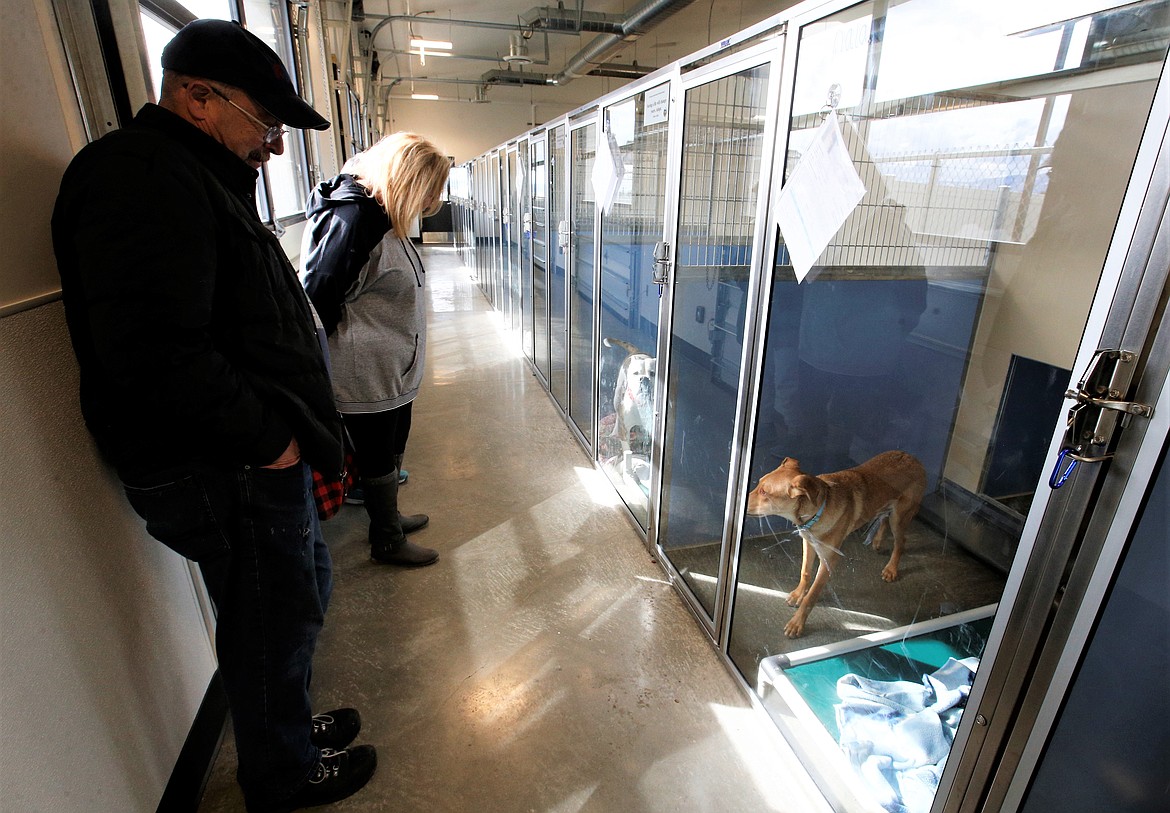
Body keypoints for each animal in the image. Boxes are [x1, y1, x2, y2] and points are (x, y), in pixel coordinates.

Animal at [744, 451, 926, 636]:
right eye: (759, 484)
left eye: (764, 492)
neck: (818, 511)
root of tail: (912, 458)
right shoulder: (808, 544)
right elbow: (805, 572)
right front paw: (798, 595)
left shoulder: (829, 560)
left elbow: (812, 596)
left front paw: (797, 623)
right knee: (883, 519)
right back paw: (877, 541)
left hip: (900, 516)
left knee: (900, 541)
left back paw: (891, 569)